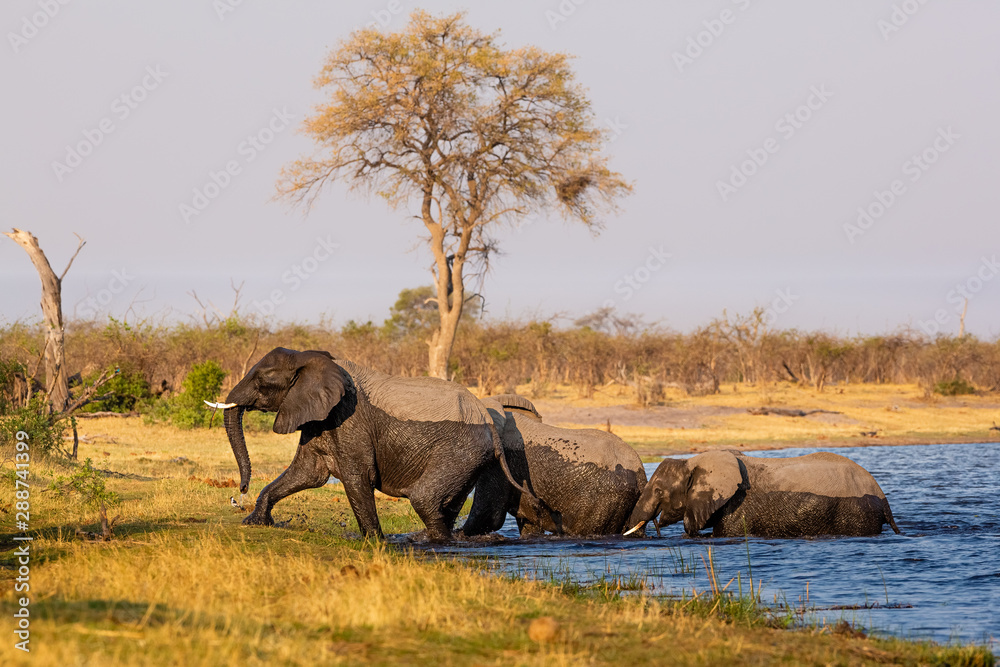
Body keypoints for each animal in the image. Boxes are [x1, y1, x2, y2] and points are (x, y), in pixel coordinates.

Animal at [216, 347, 529, 542]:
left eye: (261, 380)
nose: (240, 489)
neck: (311, 358)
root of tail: (488, 419)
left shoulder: (349, 418)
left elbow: (356, 478)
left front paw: (375, 542)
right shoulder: (321, 418)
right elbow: (307, 474)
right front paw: (254, 523)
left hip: (461, 450)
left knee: (424, 499)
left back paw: (437, 542)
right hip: (469, 458)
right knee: (446, 505)